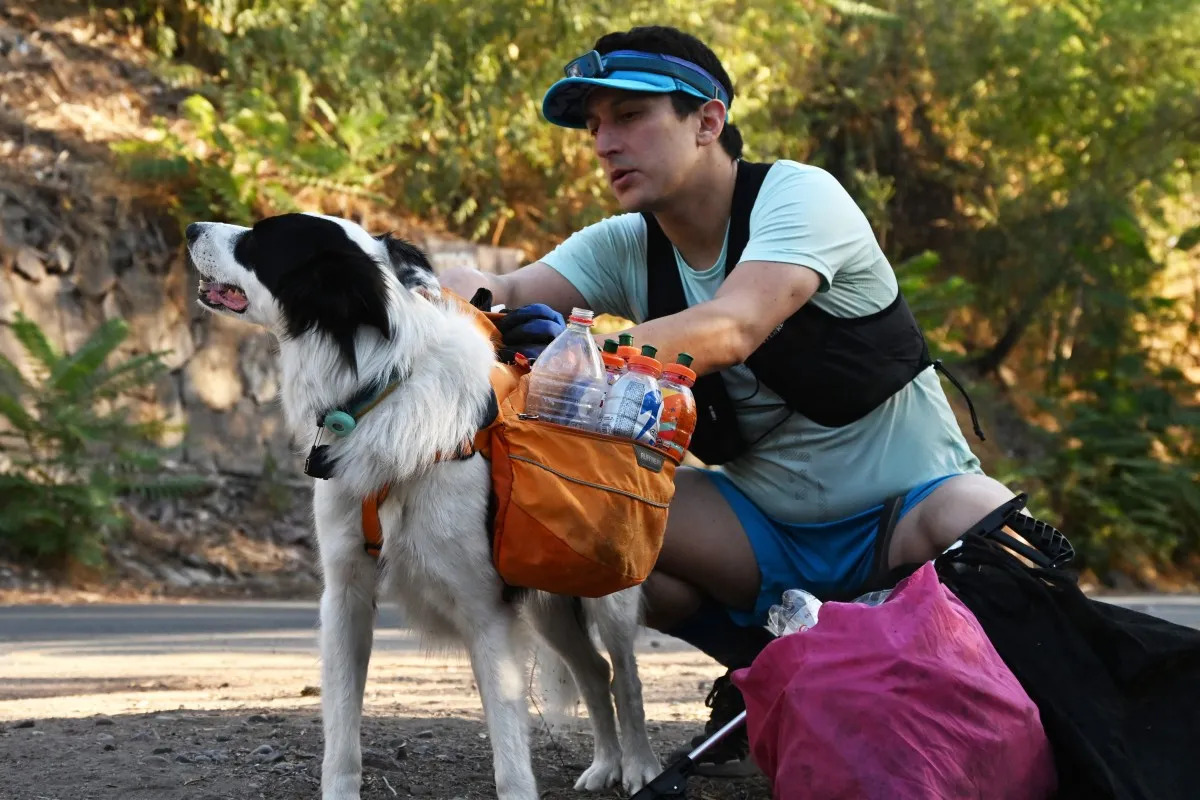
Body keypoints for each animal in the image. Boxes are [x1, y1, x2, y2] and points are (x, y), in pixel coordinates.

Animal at [183, 214, 662, 800]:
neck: (380, 392)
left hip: (607, 595)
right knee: (596, 672)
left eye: (262, 237)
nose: (190, 228)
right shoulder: (344, 597)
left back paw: (640, 766)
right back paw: (604, 764)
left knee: (626, 674)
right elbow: (341, 734)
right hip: (551, 603)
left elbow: (510, 754)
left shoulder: (487, 612)